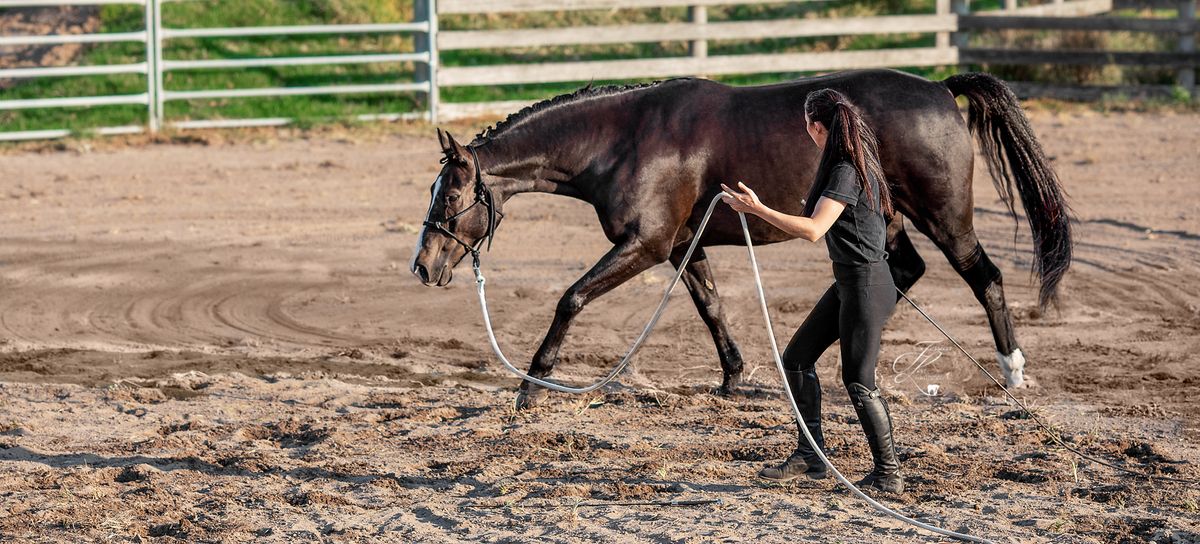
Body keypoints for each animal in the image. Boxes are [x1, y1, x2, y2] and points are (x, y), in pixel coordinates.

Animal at [410, 69, 1070, 408]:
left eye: (449, 199)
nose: (423, 267)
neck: (623, 138)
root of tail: (940, 89)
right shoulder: (682, 244)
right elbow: (710, 305)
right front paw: (733, 377)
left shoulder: (647, 244)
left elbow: (571, 298)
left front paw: (532, 385)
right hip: (886, 217)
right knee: (905, 272)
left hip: (943, 215)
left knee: (985, 276)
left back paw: (1012, 374)